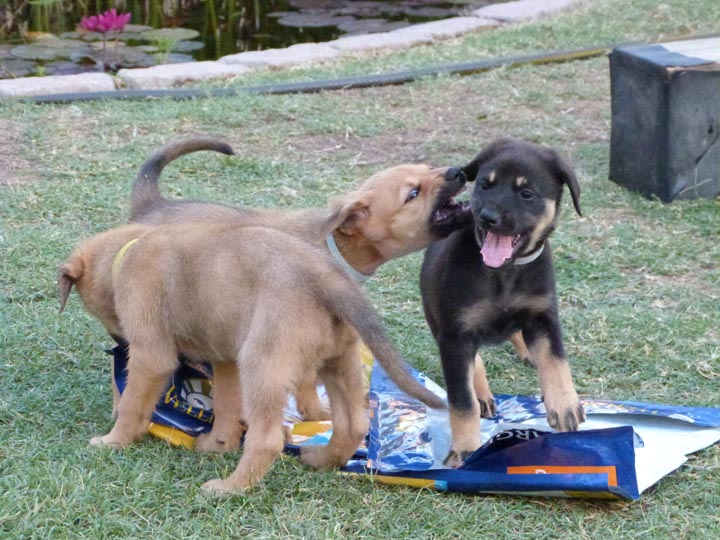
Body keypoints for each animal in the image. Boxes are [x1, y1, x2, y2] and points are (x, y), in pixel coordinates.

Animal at [59, 220, 448, 494]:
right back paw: (320, 459)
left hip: (262, 364)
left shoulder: (152, 355)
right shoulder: (226, 360)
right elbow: (227, 408)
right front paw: (218, 444)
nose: (117, 344)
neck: (129, 249)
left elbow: (131, 405)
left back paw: (230, 488)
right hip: (340, 360)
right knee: (353, 423)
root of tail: (326, 280)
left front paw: (113, 442)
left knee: (268, 439)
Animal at [123, 137, 470, 454]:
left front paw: (314, 413)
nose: (459, 171)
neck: (333, 244)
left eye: (428, 169)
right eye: (413, 193)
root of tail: (151, 204)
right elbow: (305, 381)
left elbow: (310, 383)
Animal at [422, 137, 584, 466]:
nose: (488, 217)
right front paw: (466, 448)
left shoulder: (543, 315)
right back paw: (482, 393)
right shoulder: (455, 334)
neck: (504, 272)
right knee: (473, 365)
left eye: (526, 193)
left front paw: (564, 404)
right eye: (485, 185)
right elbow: (462, 400)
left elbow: (555, 360)